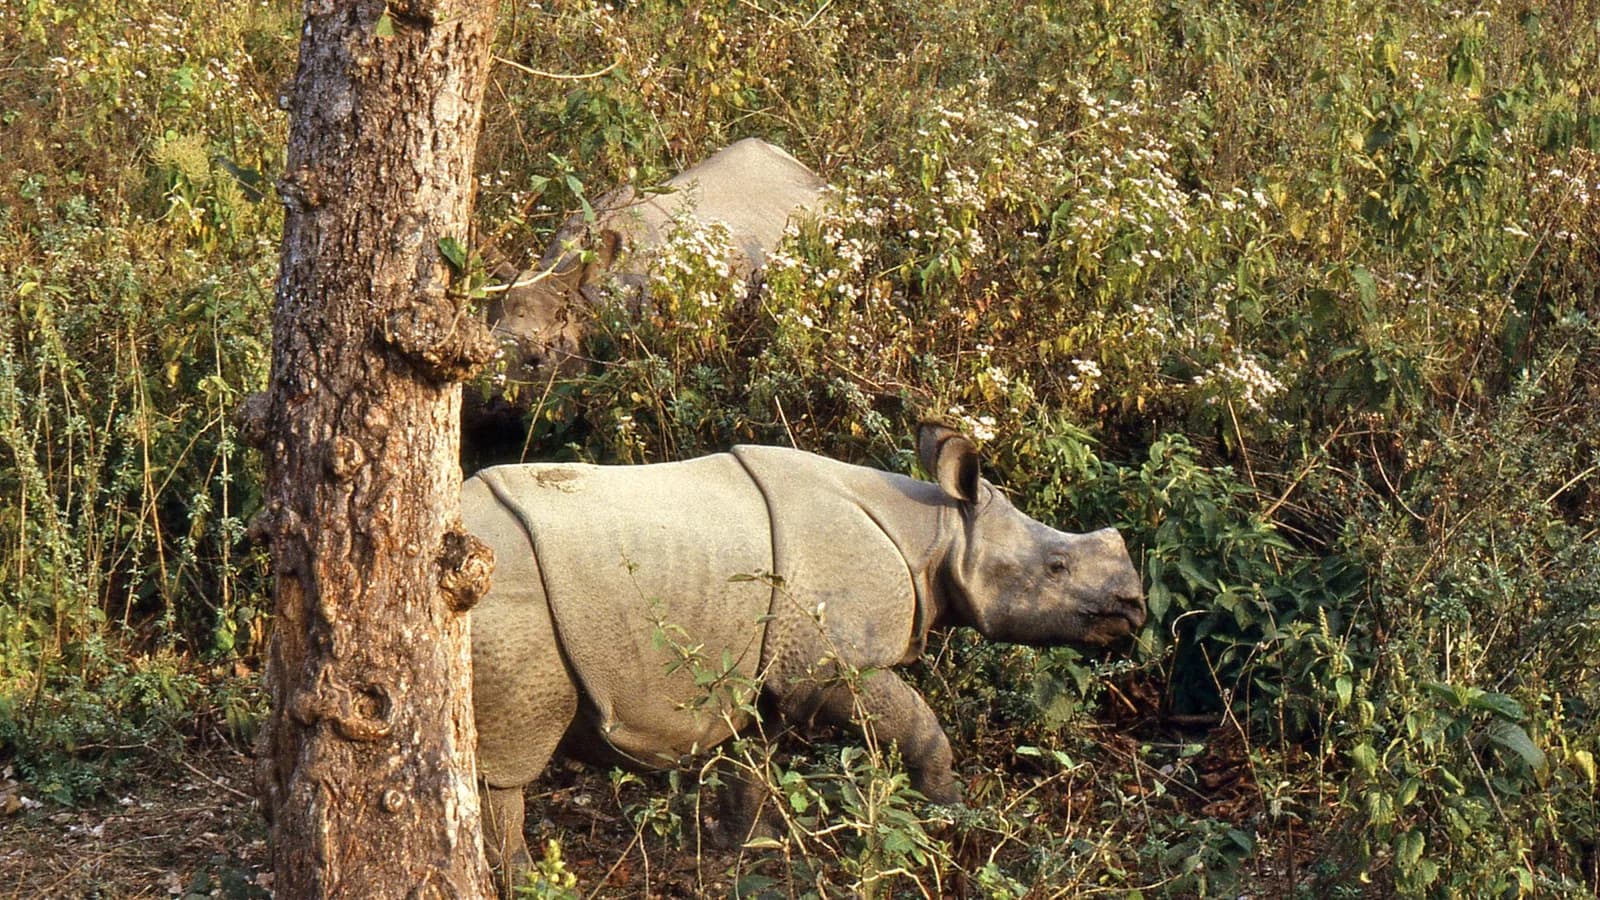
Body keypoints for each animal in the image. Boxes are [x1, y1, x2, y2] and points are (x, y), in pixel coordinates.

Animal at [462, 422, 1147, 872]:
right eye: (1055, 567)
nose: (1135, 607)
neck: (935, 532)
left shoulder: (763, 662)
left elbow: (752, 759)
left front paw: (753, 849)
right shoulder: (830, 664)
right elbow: (921, 729)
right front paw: (955, 816)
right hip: (503, 604)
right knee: (507, 759)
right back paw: (520, 879)